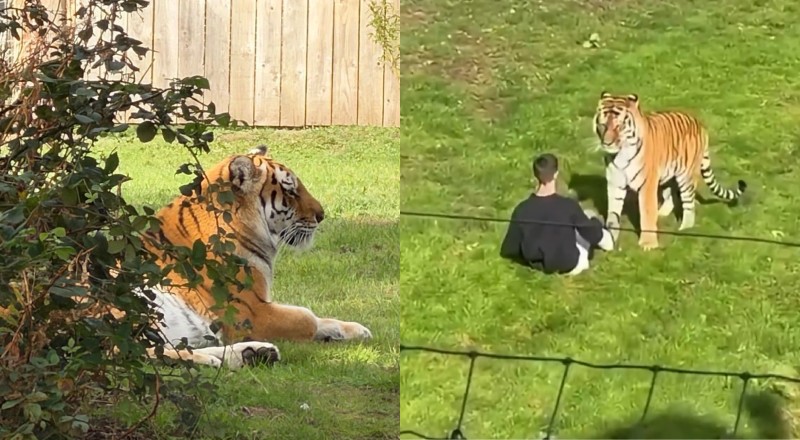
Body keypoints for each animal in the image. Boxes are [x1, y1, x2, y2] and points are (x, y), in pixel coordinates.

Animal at [94, 145, 371, 369]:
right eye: (290, 191)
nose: (321, 215)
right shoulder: (251, 313)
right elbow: (307, 317)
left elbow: (322, 318)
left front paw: (357, 330)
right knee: (122, 352)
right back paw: (214, 360)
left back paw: (253, 354)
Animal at [592, 92, 747, 250]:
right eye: (603, 125)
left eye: (619, 126)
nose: (607, 143)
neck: (620, 155)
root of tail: (700, 125)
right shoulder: (615, 184)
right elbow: (612, 213)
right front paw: (610, 238)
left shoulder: (647, 184)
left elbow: (646, 212)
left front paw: (648, 244)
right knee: (671, 191)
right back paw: (661, 212)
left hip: (686, 177)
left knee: (688, 202)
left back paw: (685, 228)